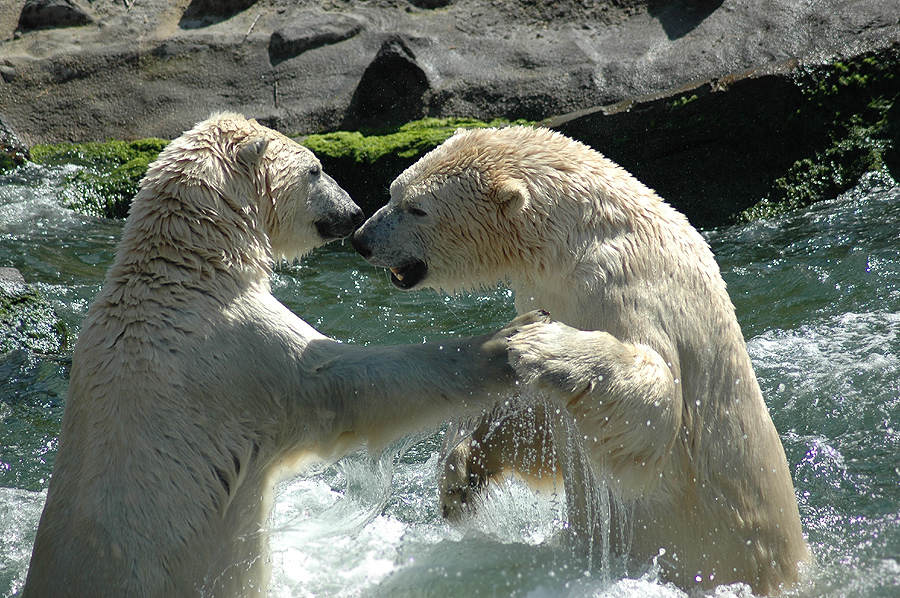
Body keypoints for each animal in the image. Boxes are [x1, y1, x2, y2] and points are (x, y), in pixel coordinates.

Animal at [22, 113, 548, 598]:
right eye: (316, 168)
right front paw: (512, 337)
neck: (184, 273)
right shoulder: (238, 351)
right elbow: (342, 384)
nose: (354, 213)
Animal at [354, 126, 816, 596]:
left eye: (417, 208)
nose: (361, 240)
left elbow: (657, 402)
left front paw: (543, 344)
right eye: (392, 191)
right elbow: (541, 421)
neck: (577, 239)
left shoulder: (624, 284)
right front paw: (459, 477)